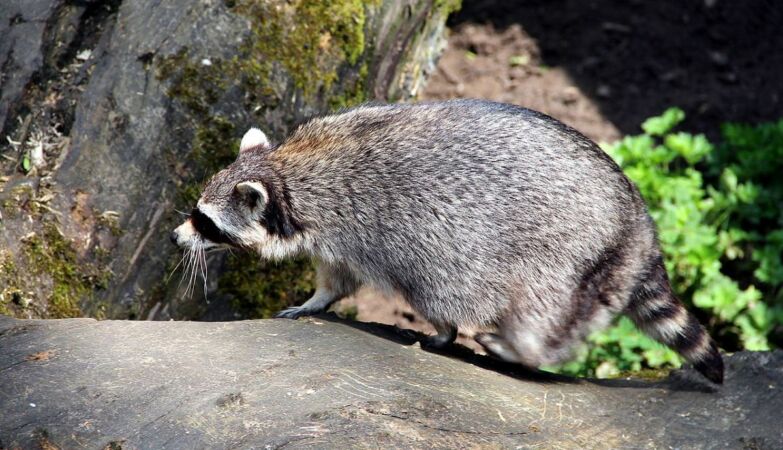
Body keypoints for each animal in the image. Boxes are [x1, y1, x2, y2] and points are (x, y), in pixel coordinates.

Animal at [171, 99, 724, 384]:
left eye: (206, 222)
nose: (177, 238)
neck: (288, 173)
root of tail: (638, 225)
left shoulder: (373, 228)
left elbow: (437, 289)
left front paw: (443, 331)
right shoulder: (334, 234)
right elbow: (336, 277)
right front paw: (316, 299)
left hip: (565, 253)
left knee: (537, 310)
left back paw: (521, 346)